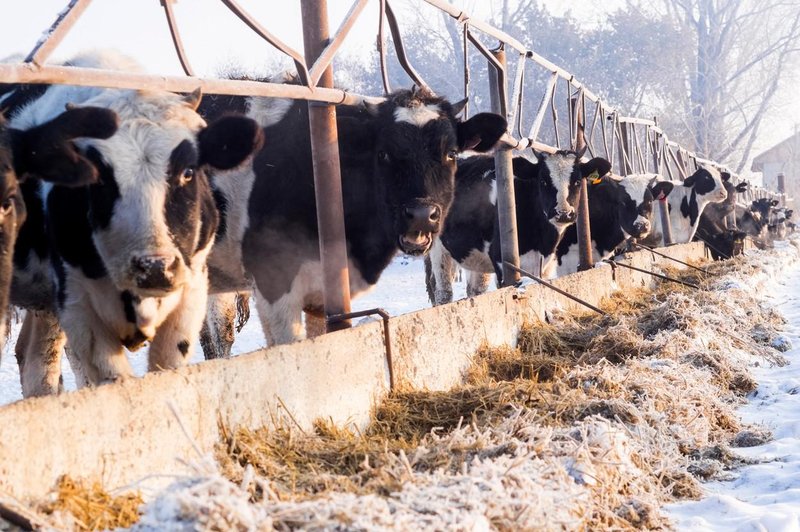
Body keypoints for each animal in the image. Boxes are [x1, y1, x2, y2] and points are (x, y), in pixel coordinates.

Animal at [6, 51, 262, 394]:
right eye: (97, 177)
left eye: (188, 170)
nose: (154, 267)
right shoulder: (77, 305)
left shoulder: (192, 294)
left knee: (36, 360)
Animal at [422, 150, 608, 306]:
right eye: (543, 181)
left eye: (577, 182)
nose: (563, 213)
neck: (541, 241)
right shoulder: (501, 260)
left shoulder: (545, 264)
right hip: (438, 249)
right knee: (443, 291)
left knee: (475, 289)